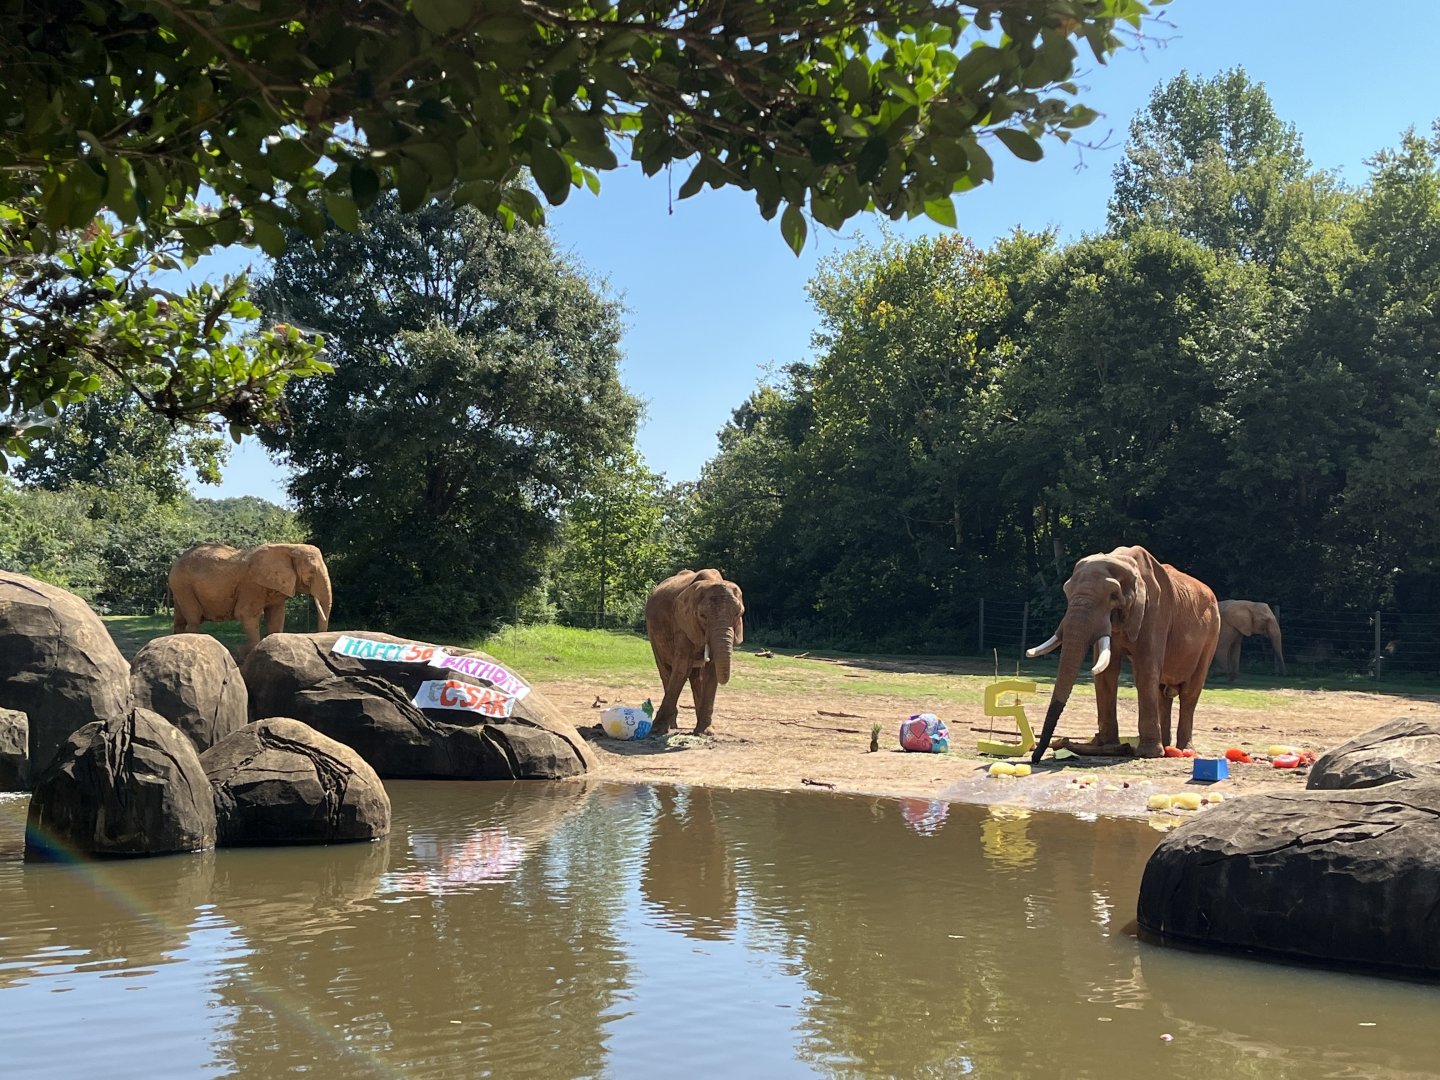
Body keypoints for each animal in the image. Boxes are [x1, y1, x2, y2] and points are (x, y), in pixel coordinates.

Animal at [168, 543, 332, 652]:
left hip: (179, 588)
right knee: (194, 619)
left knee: (180, 620)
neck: (289, 547)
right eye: (311, 572)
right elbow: (246, 614)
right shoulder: (251, 586)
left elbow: (277, 616)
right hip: (183, 585)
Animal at [644, 569, 745, 736]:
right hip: (652, 635)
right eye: (702, 616)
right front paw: (657, 730)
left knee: (696, 676)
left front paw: (705, 732)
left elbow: (711, 671)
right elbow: (682, 668)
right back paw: (671, 726)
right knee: (666, 671)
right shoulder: (682, 624)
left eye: (738, 614)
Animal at [1025, 545, 1220, 762]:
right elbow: (1106, 674)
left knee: (1189, 693)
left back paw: (1184, 750)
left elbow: (1145, 671)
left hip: (1212, 634)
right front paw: (1109, 746)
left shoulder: (1156, 611)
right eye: (1067, 591)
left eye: (1113, 596)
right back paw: (1166, 747)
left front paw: (1147, 754)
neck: (1124, 560)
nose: (1035, 758)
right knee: (1163, 693)